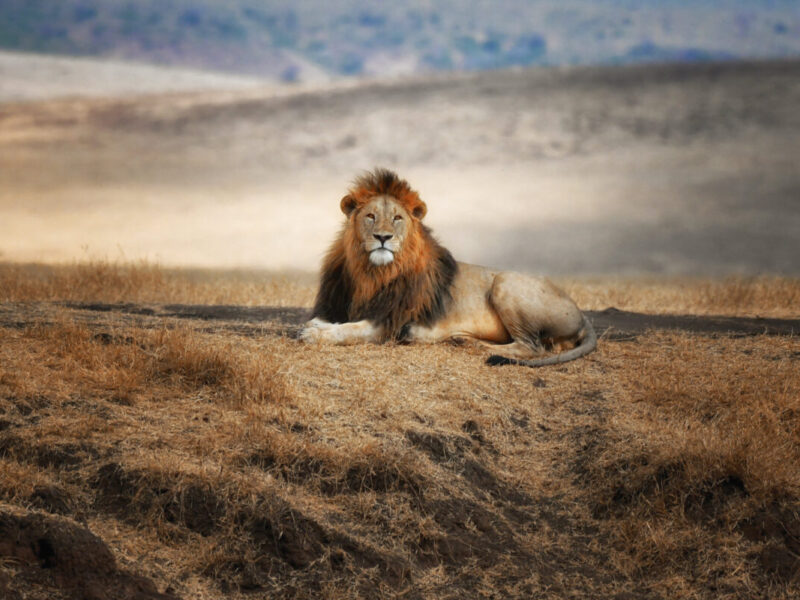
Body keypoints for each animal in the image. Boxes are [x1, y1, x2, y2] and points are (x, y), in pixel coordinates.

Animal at [300, 166, 592, 368]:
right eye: (370, 216)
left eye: (397, 218)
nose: (383, 237)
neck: (372, 274)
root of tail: (581, 312)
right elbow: (337, 320)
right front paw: (318, 324)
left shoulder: (390, 323)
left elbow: (350, 329)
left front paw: (314, 332)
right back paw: (463, 339)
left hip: (505, 282)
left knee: (532, 347)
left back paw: (482, 348)